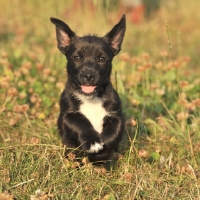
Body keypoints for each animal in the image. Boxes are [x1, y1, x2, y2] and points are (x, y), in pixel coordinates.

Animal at [50, 15, 125, 162]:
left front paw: (102, 153)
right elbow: (80, 122)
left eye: (102, 58)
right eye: (77, 57)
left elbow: (113, 132)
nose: (89, 75)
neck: (91, 99)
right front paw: (93, 143)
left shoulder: (117, 116)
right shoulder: (67, 115)